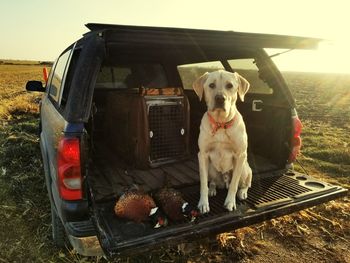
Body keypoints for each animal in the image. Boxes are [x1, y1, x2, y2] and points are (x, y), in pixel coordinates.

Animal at [194, 69, 252, 213]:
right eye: (211, 85)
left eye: (229, 85)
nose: (220, 98)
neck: (221, 123)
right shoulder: (202, 155)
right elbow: (203, 184)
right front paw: (203, 203)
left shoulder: (240, 155)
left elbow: (234, 185)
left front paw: (230, 202)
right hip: (210, 168)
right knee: (212, 182)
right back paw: (212, 189)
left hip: (244, 168)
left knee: (245, 183)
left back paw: (243, 192)